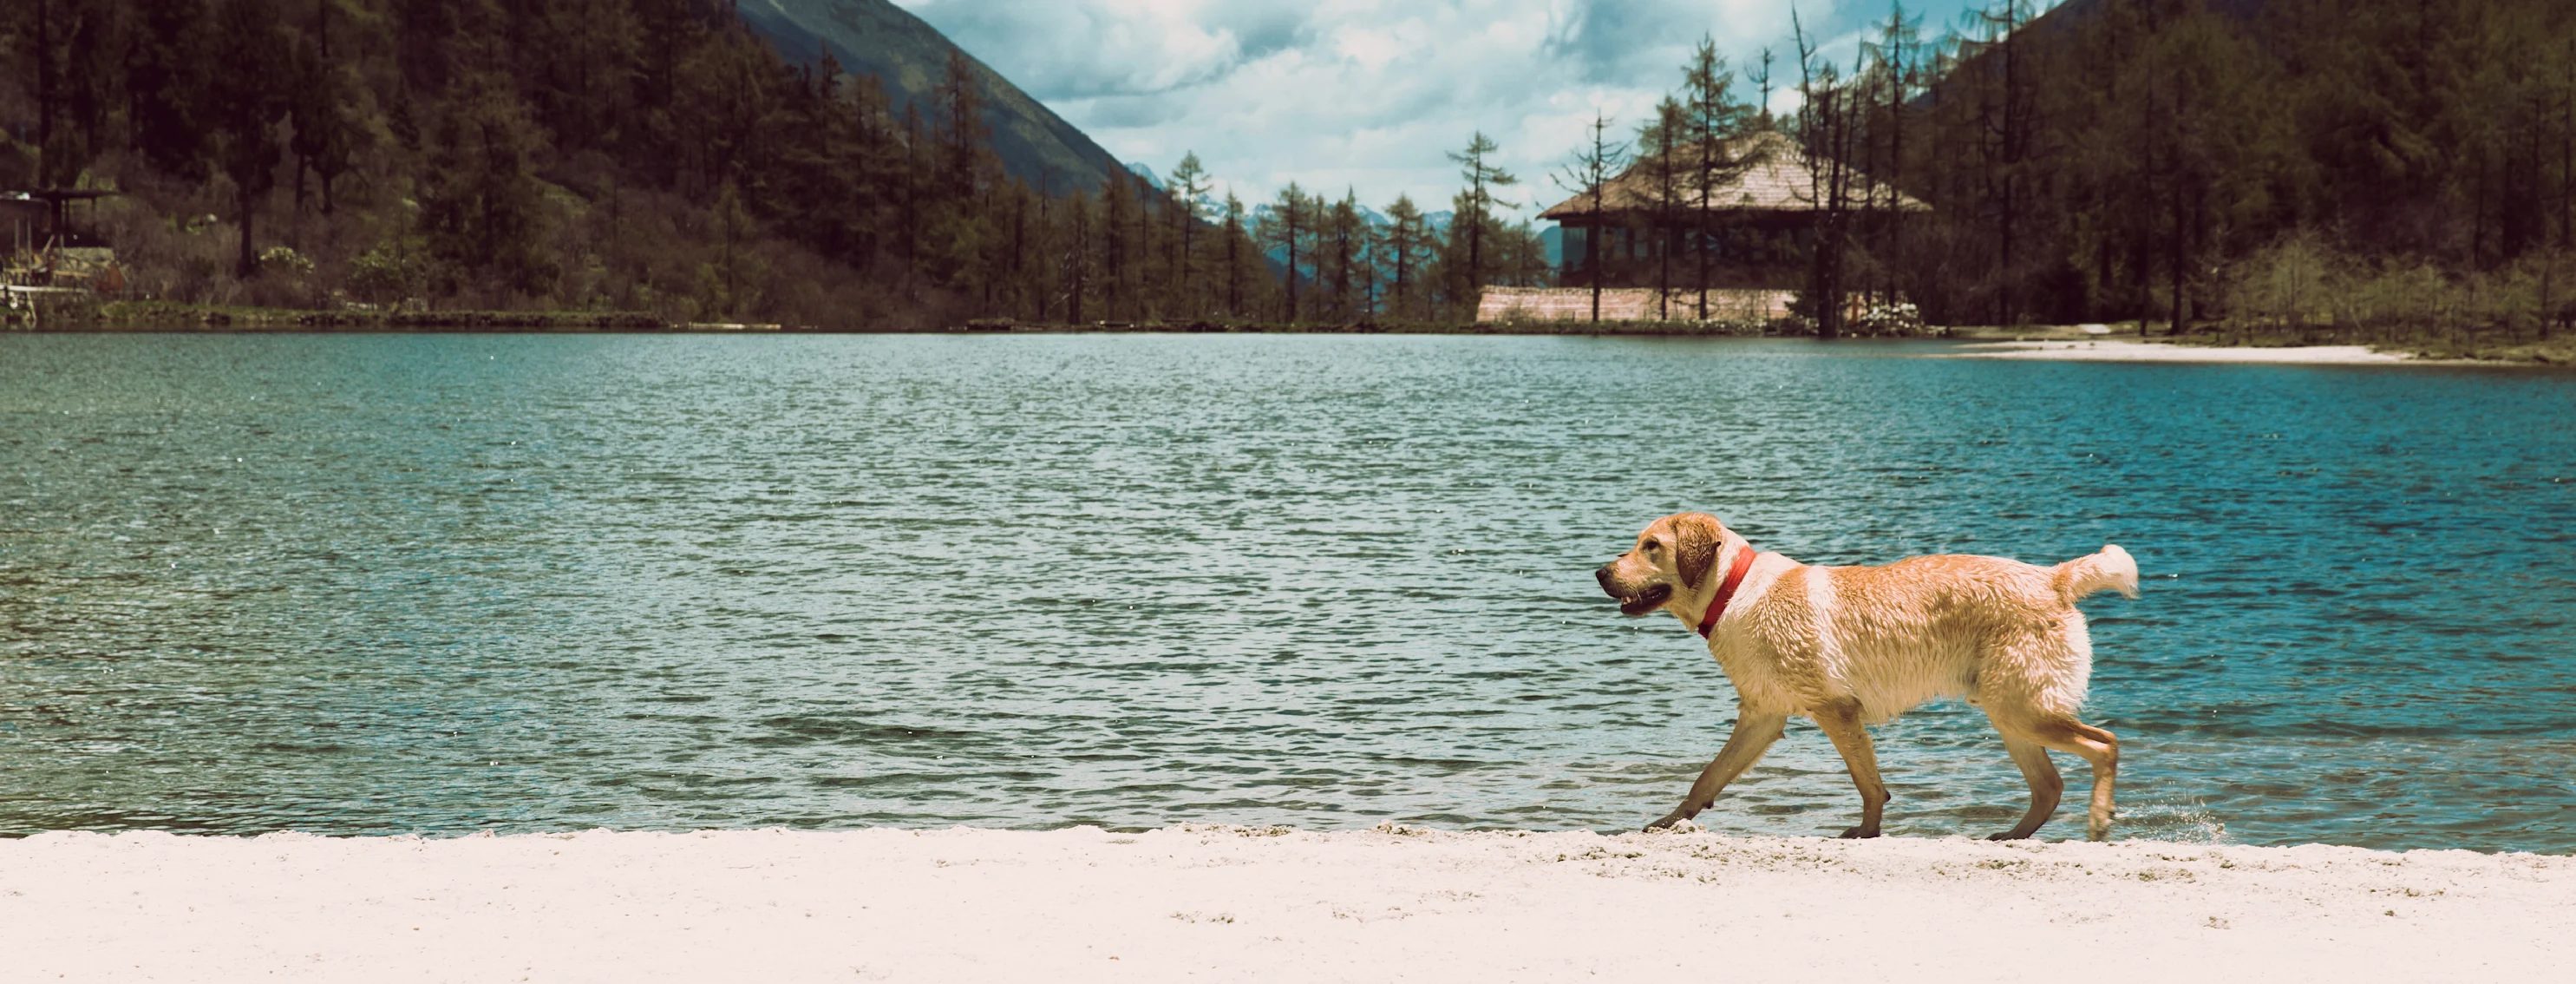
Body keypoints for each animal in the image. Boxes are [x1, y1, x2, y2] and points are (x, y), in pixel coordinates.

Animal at [1586, 509, 2133, 839]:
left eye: (1652, 546)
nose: (1599, 572)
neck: (1734, 591)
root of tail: (2054, 577)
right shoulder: (1762, 717)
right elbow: (1706, 778)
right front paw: (1668, 822)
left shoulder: (1836, 710)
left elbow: (1868, 784)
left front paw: (1866, 834)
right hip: (2009, 713)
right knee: (2049, 786)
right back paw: (2010, 837)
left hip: (2020, 709)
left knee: (2105, 744)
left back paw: (2098, 820)